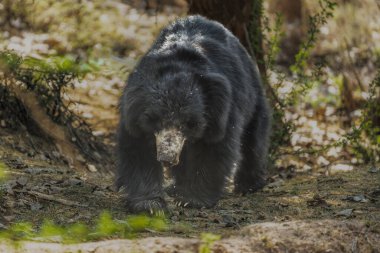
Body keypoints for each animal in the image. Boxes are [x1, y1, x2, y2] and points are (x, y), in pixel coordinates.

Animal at [116, 15, 270, 213]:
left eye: (187, 123)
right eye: (156, 120)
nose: (167, 158)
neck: (179, 66)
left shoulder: (221, 109)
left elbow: (214, 147)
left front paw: (192, 199)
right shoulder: (134, 110)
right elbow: (138, 148)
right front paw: (149, 204)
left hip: (253, 95)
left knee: (254, 137)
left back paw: (248, 185)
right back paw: (177, 186)